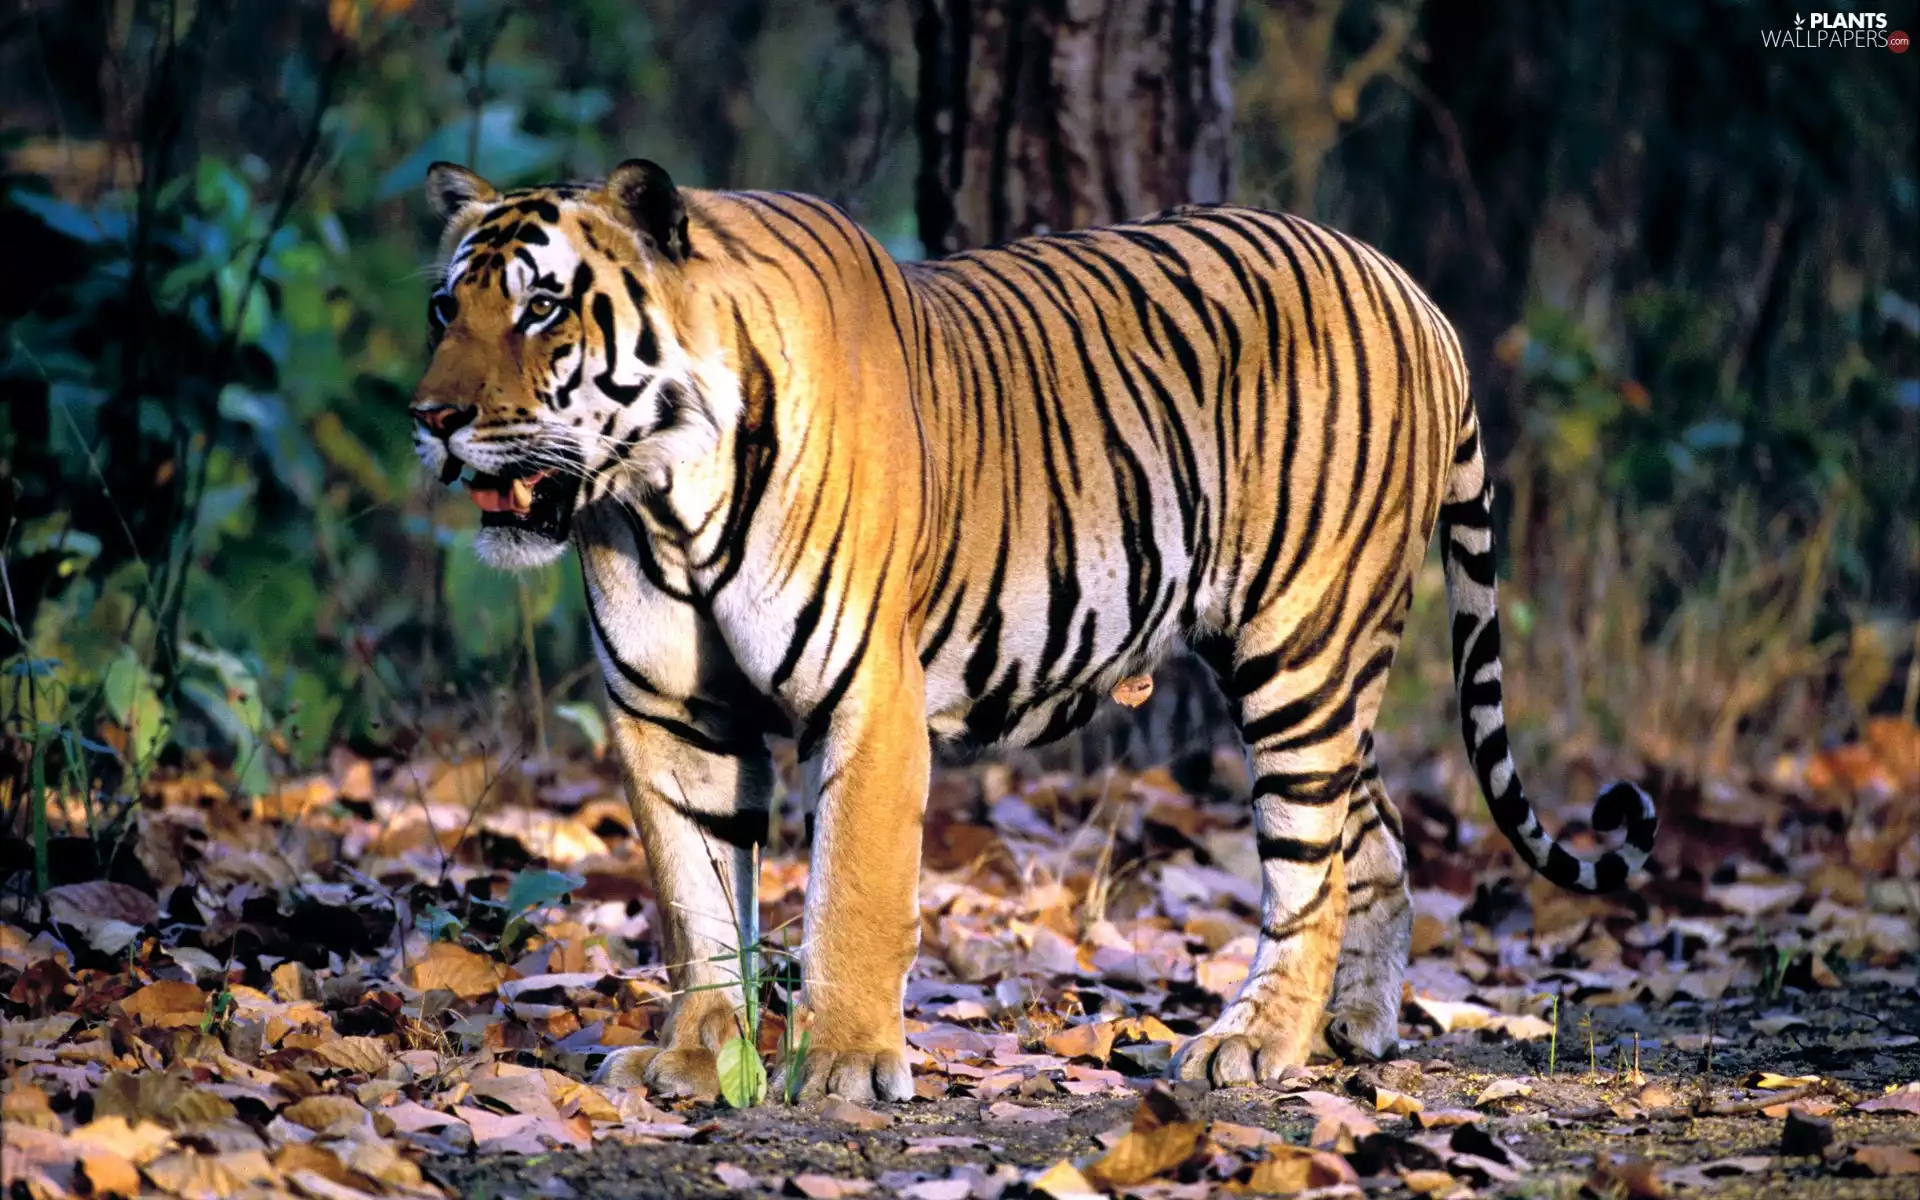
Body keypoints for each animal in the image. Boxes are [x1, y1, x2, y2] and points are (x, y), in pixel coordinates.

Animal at [410, 159, 1658, 1102]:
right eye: (444, 309)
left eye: (541, 306)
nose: (431, 418)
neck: (659, 496)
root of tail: (1415, 292)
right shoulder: (670, 713)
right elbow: (694, 898)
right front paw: (693, 1059)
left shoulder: (868, 692)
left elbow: (851, 890)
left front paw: (845, 1067)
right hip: (1295, 661)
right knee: (1378, 837)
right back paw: (1354, 1028)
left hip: (1304, 646)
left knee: (1311, 867)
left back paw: (1256, 1046)